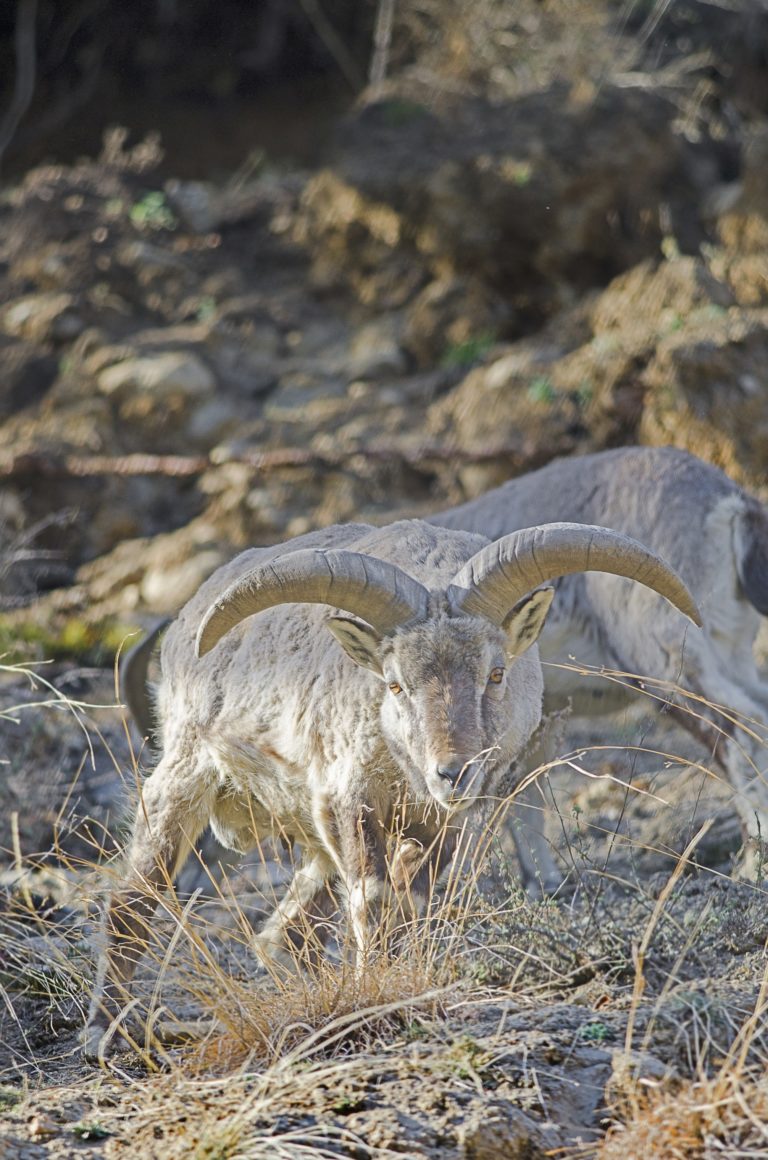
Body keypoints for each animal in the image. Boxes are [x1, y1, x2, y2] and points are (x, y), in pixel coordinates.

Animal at [84, 516, 699, 1057]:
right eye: (395, 682)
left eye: (496, 673)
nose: (453, 771)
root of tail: (190, 615)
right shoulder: (347, 799)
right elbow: (375, 901)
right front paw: (373, 995)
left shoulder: (446, 820)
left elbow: (414, 901)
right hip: (188, 768)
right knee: (132, 899)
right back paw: (104, 1031)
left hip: (309, 837)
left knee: (285, 932)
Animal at [430, 445, 768, 878]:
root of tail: (728, 501)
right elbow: (525, 794)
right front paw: (543, 881)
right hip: (728, 650)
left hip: (667, 662)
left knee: (739, 727)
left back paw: (752, 863)